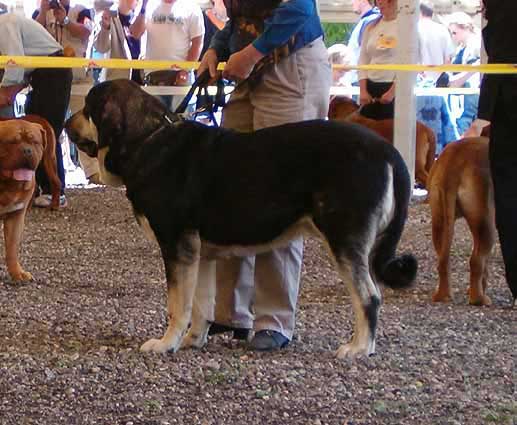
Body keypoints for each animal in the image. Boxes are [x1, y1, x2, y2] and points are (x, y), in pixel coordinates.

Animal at [0, 119, 46, 280]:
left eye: (35, 142)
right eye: (12, 142)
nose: (27, 150)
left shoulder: (16, 216)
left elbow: (12, 248)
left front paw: (17, 273)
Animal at [66, 79, 418, 358]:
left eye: (87, 108)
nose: (67, 122)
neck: (147, 139)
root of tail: (387, 150)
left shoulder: (177, 246)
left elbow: (178, 304)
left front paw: (166, 344)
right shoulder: (200, 253)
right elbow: (201, 304)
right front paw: (194, 339)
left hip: (344, 239)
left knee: (368, 297)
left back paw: (359, 348)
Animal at [426, 137, 494, 304]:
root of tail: (454, 162)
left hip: (440, 221)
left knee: (443, 260)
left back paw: (443, 295)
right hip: (486, 223)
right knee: (476, 261)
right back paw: (479, 299)